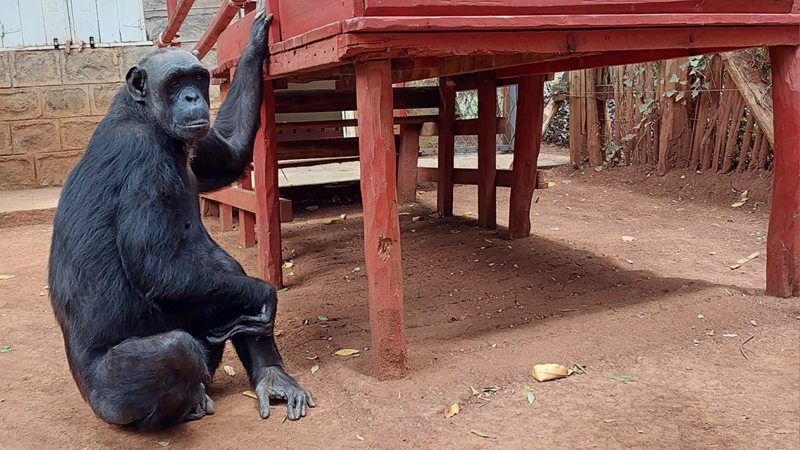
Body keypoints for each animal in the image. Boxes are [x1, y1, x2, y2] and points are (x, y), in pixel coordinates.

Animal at [43, 1, 312, 430]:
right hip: (108, 399)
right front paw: (265, 293)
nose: (190, 96)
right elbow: (154, 267)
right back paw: (189, 405)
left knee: (222, 272)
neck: (145, 116)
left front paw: (254, 43)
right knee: (178, 347)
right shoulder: (142, 161)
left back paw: (273, 379)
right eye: (173, 82)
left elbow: (232, 153)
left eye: (198, 77)